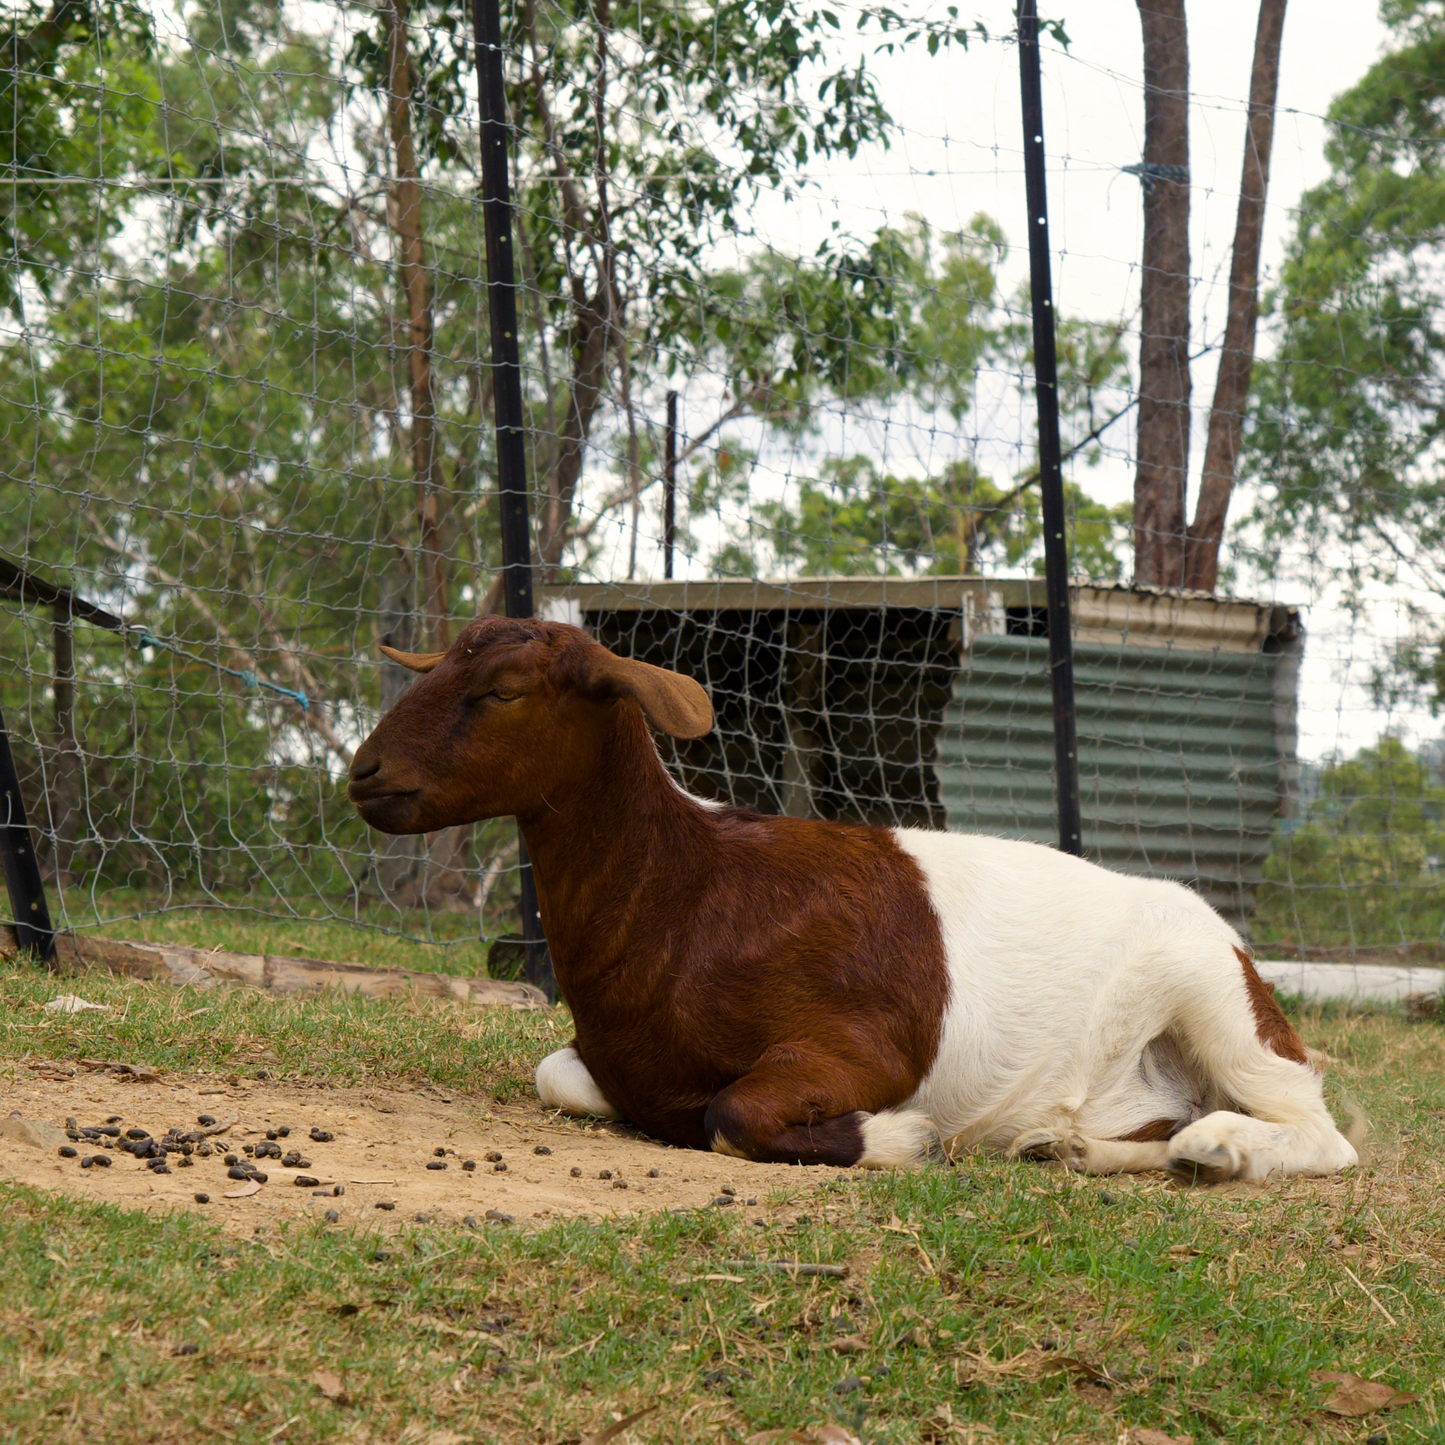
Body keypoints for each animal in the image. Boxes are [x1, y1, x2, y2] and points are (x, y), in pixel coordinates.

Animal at [348, 615, 1357, 1181]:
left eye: (504, 690)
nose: (363, 773)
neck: (687, 893)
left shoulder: (859, 1044)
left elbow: (733, 1114)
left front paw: (905, 1139)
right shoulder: (602, 1060)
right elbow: (556, 1075)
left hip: (1215, 998)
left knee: (1318, 1129)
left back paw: (1220, 1150)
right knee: (1156, 1122)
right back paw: (1069, 1146)